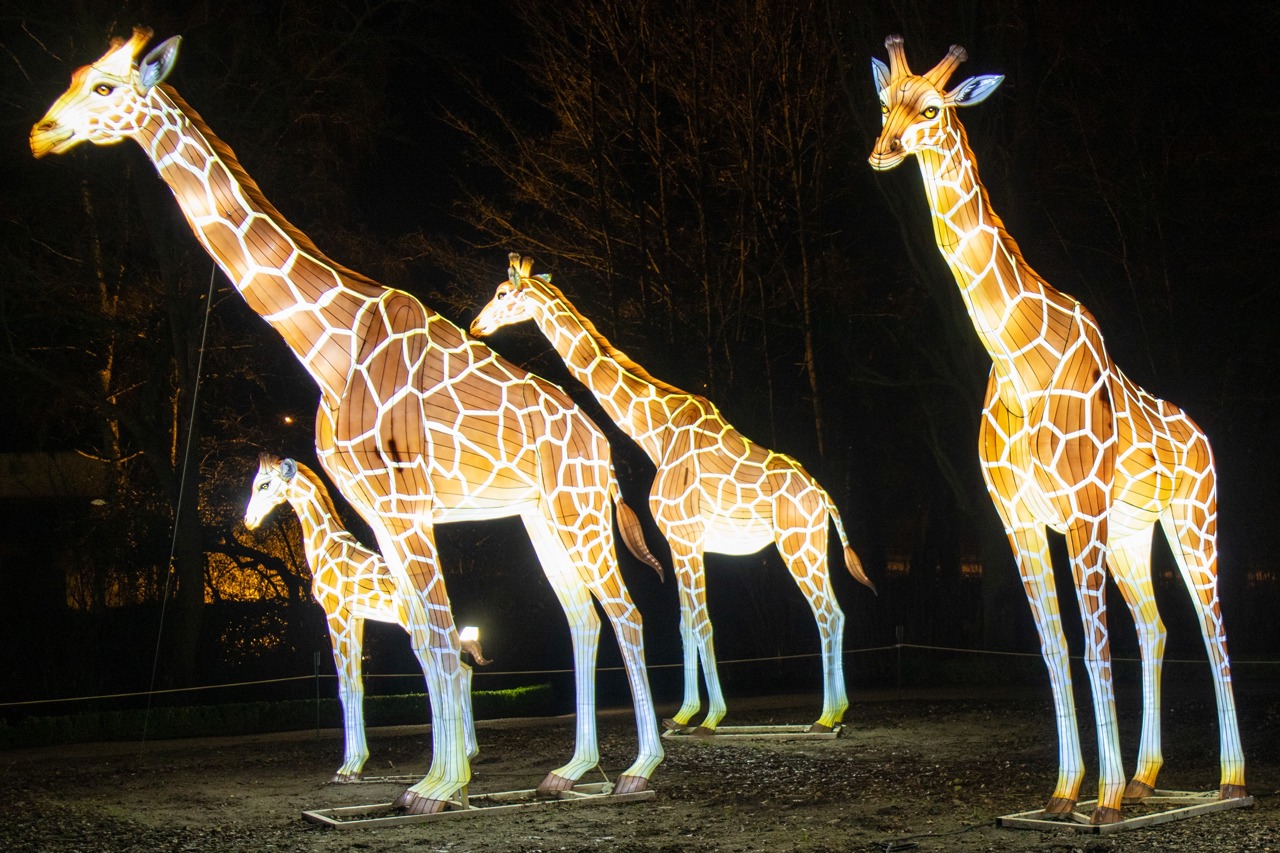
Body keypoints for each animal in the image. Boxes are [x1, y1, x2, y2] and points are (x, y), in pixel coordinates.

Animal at [244, 453, 491, 783]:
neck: (325, 547)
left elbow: (346, 685)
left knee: (451, 668)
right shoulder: (356, 616)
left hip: (412, 624)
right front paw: (355, 765)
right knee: (460, 669)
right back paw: (466, 754)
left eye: (264, 484)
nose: (248, 520)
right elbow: (357, 683)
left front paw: (348, 767)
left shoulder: (335, 611)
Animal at [472, 254, 876, 735]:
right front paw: (684, 715)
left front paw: (710, 718)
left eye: (501, 293)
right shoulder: (677, 540)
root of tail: (825, 497)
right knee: (832, 612)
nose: (475, 324)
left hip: (797, 544)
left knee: (827, 612)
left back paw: (826, 716)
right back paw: (835, 712)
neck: (656, 431)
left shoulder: (686, 535)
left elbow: (703, 623)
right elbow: (686, 624)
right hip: (811, 542)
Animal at [868, 35, 1245, 822]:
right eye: (884, 102)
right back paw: (1147, 778)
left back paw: (1229, 782)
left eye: (933, 108)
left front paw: (1101, 802)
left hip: (1193, 516)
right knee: (1158, 626)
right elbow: (1054, 649)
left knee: (1212, 624)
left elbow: (1095, 644)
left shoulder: (1081, 506)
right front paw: (1065, 793)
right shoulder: (1018, 516)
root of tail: (1204, 436)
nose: (883, 152)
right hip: (1135, 529)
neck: (1014, 356)